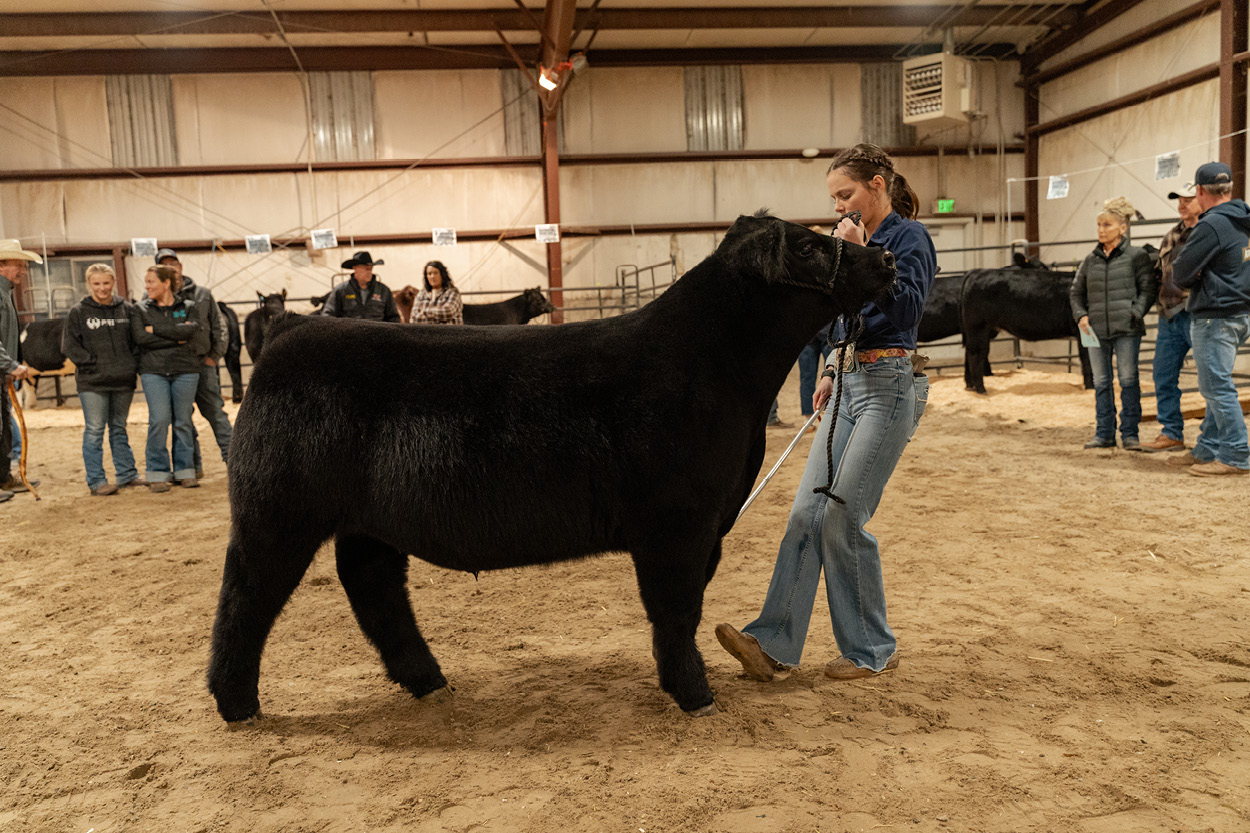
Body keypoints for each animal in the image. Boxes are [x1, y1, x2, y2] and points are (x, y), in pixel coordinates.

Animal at [206, 212, 898, 723]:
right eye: (808, 246)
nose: (887, 260)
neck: (717, 369)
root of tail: (289, 334)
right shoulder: (677, 521)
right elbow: (677, 608)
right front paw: (696, 696)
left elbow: (683, 607)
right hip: (277, 511)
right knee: (247, 596)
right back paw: (237, 705)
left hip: (367, 523)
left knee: (372, 587)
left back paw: (429, 681)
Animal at [960, 252, 1094, 394]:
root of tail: (976, 272)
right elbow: (1088, 360)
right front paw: (1091, 387)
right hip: (978, 326)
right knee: (975, 353)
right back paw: (980, 388)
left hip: (981, 330)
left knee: (970, 352)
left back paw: (970, 385)